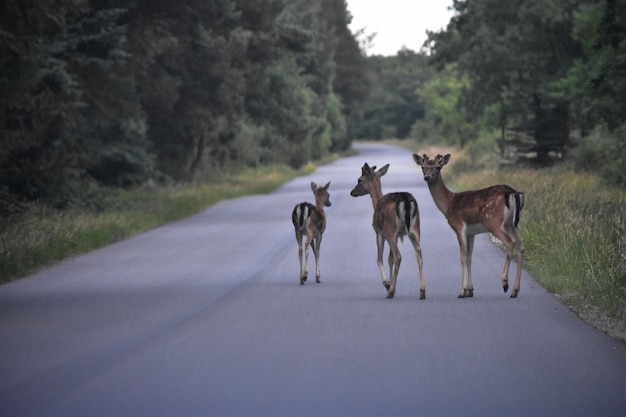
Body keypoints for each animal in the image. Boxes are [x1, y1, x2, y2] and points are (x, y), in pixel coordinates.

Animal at [346, 163, 424, 300]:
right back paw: (422, 291)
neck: (377, 202)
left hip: (390, 230)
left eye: (359, 180)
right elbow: (389, 259)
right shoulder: (397, 236)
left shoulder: (379, 232)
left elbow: (380, 258)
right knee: (419, 254)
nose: (352, 192)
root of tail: (405, 199)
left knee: (398, 256)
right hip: (415, 229)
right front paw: (391, 284)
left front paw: (387, 283)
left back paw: (391, 291)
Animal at [412, 154, 524, 298]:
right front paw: (470, 290)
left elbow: (463, 257)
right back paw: (515, 290)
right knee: (521, 247)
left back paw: (505, 283)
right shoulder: (471, 233)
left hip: (493, 221)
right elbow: (470, 257)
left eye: (438, 167)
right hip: (512, 223)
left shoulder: (459, 226)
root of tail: (513, 193)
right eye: (423, 167)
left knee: (510, 242)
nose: (427, 176)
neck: (448, 204)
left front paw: (462, 291)